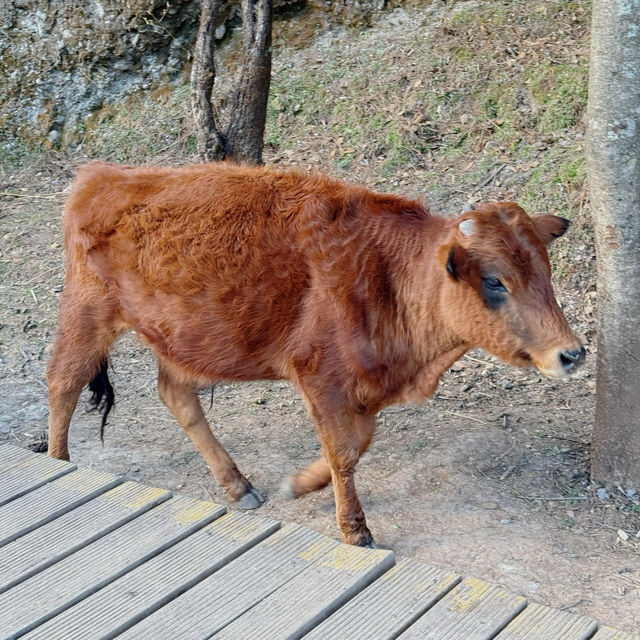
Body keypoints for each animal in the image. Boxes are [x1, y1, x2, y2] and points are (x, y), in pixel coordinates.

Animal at [46, 160, 584, 544]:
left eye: (545, 272)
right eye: (495, 281)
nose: (572, 354)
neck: (388, 273)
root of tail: (101, 175)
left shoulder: (359, 388)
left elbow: (358, 442)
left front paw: (303, 484)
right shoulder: (320, 379)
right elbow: (344, 451)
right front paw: (355, 530)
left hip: (183, 342)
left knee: (175, 395)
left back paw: (239, 486)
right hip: (87, 314)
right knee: (63, 383)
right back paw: (60, 463)